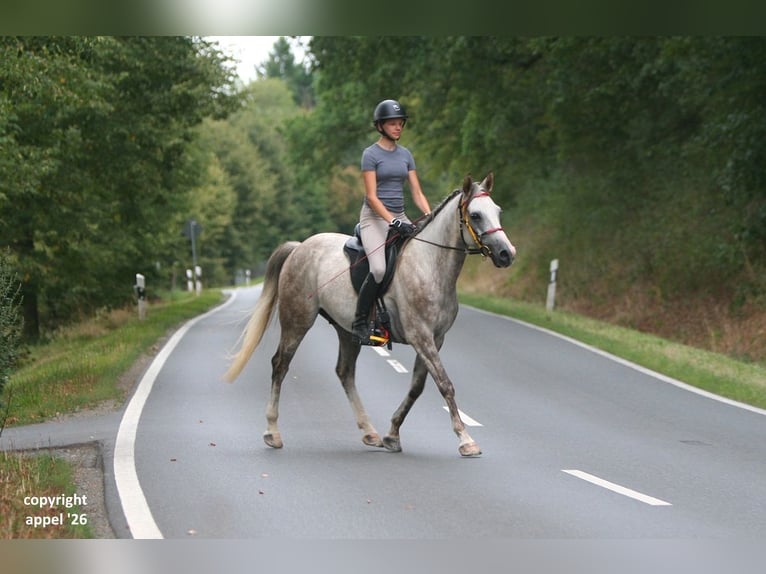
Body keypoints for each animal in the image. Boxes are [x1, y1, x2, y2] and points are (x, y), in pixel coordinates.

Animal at [224, 172, 516, 457]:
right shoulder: (421, 336)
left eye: (498, 211)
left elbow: (417, 388)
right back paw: (272, 432)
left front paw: (392, 435)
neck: (430, 265)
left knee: (344, 372)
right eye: (475, 215)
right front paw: (466, 439)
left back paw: (370, 432)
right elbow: (444, 384)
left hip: (346, 329)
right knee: (280, 365)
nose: (507, 254)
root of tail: (299, 247)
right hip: (297, 320)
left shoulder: (436, 339)